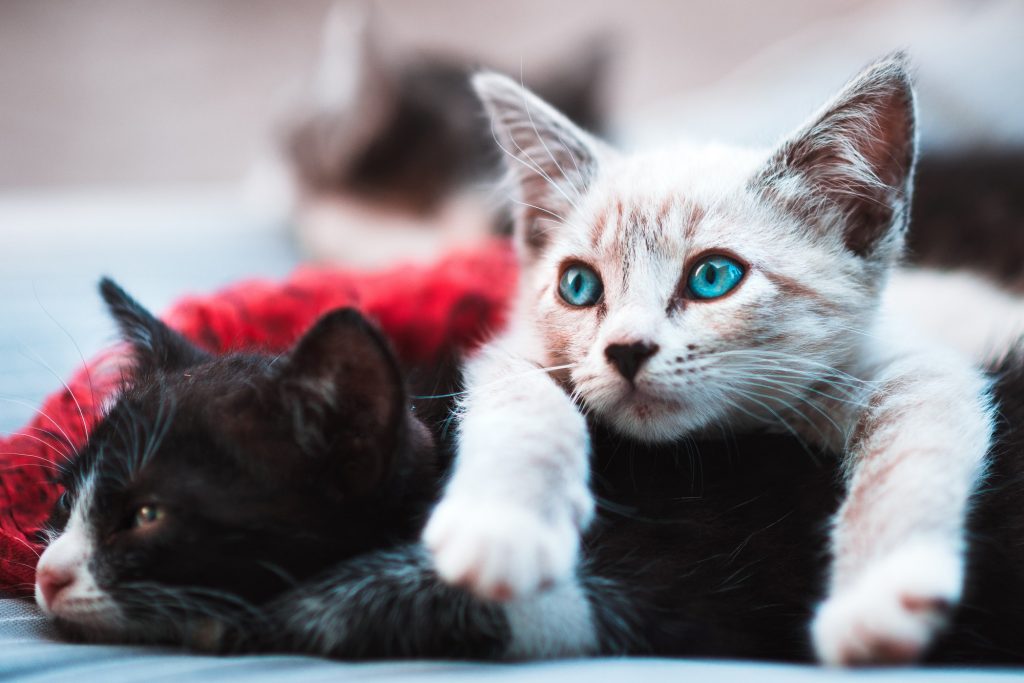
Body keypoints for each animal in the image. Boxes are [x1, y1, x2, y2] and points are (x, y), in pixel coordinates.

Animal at [419, 54, 995, 667]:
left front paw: (875, 595)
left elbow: (910, 455)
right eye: (578, 285)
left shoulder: (915, 365)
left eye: (713, 276)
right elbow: (523, 401)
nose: (626, 349)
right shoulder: (512, 347)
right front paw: (502, 527)